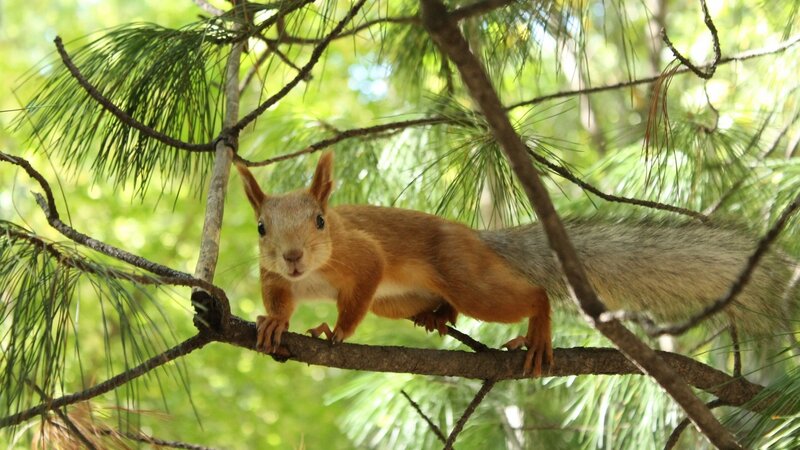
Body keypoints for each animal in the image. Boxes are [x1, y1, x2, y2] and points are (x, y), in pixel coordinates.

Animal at [235, 153, 799, 376]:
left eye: (320, 220)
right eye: (260, 228)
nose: (292, 255)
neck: (311, 275)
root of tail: (476, 239)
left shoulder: (363, 255)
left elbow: (360, 289)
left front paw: (333, 331)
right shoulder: (273, 276)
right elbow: (278, 299)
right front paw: (274, 323)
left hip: (464, 274)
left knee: (531, 295)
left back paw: (538, 332)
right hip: (399, 300)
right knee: (441, 306)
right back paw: (436, 317)